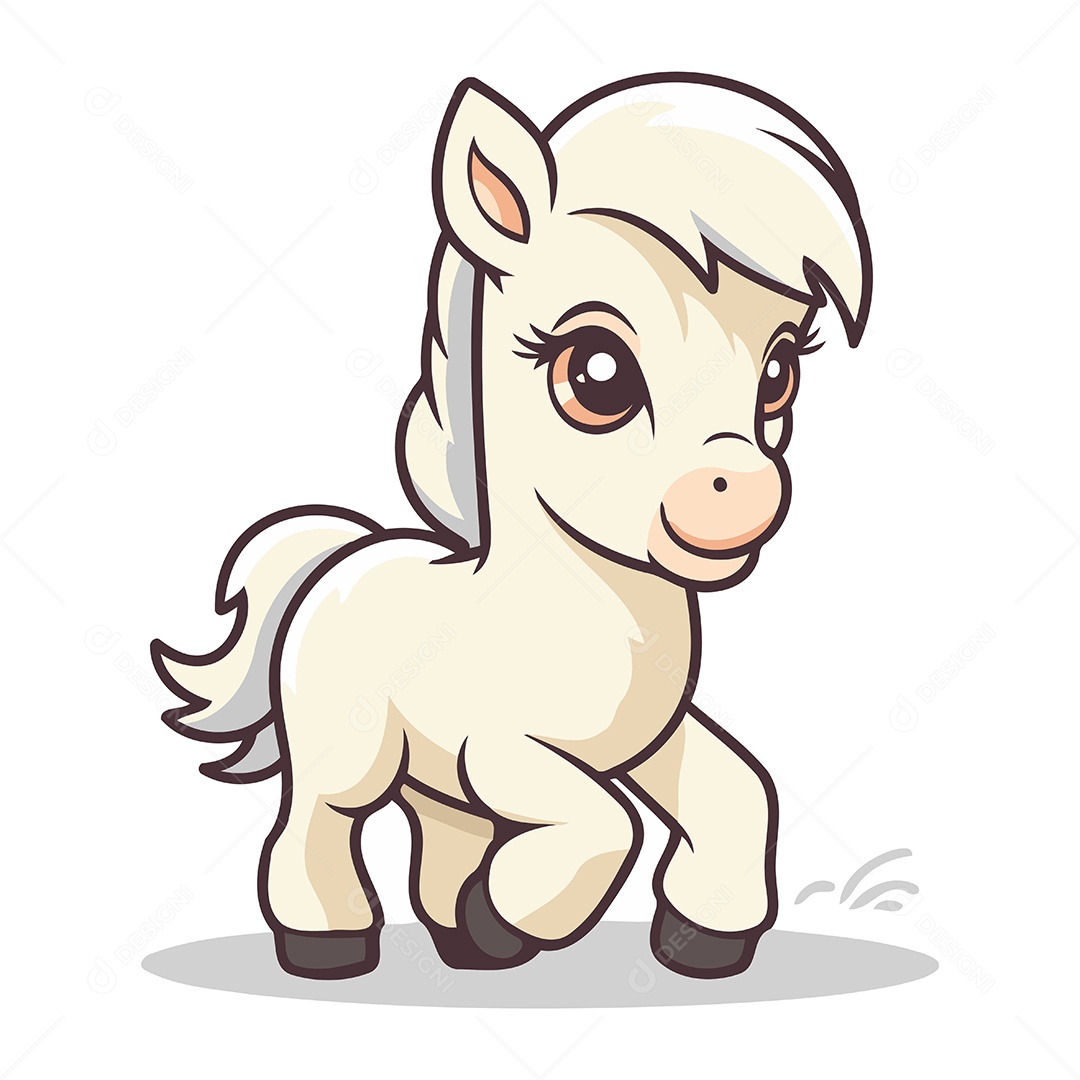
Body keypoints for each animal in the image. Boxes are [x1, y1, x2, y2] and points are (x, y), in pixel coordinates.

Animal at [152, 72, 872, 981]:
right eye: (595, 371)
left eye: (779, 372)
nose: (737, 489)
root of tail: (337, 560)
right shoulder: (504, 752)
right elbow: (608, 825)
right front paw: (509, 916)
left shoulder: (649, 741)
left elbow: (737, 791)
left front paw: (700, 937)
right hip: (349, 753)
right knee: (318, 820)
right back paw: (332, 943)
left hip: (431, 780)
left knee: (441, 836)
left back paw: (462, 941)